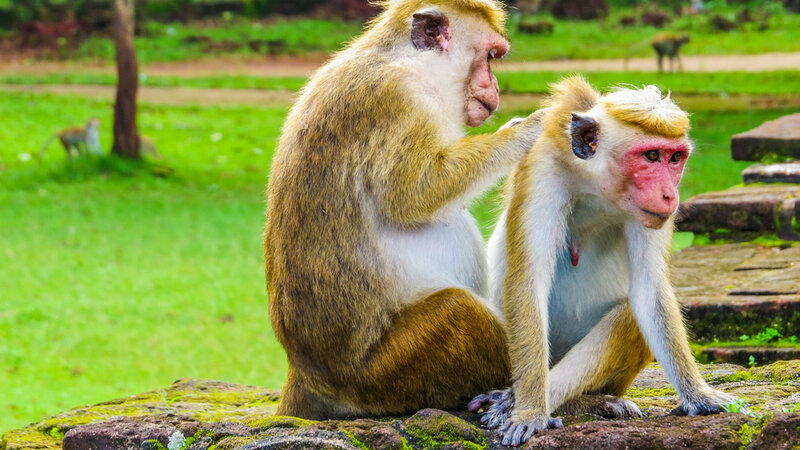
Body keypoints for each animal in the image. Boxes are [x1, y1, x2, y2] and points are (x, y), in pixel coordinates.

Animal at [266, 0, 548, 422]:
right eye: (490, 57)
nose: (497, 86)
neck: (407, 63)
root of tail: (305, 374)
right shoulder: (400, 101)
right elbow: (414, 195)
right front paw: (526, 130)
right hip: (389, 371)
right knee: (457, 309)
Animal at [468, 75, 736, 444]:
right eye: (651, 155)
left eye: (675, 158)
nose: (671, 195)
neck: (595, 187)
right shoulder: (543, 170)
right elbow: (528, 283)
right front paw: (530, 410)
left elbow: (649, 289)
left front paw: (699, 395)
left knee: (629, 314)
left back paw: (589, 400)